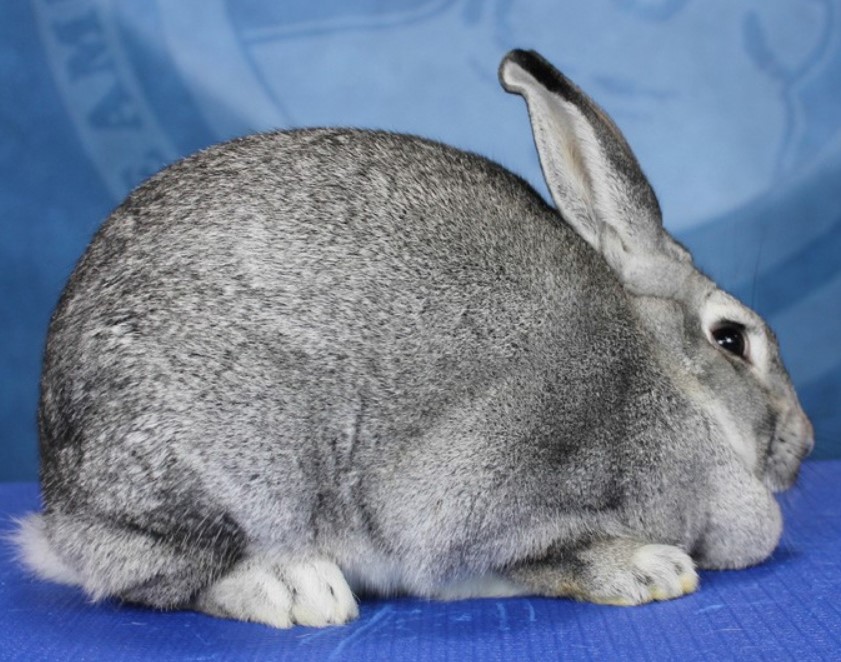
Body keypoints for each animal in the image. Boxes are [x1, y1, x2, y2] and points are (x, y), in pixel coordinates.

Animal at [14, 49, 813, 628]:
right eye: (732, 340)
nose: (804, 442)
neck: (668, 376)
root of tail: (61, 511)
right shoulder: (475, 497)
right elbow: (543, 551)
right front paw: (651, 570)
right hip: (228, 472)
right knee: (159, 576)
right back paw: (298, 588)